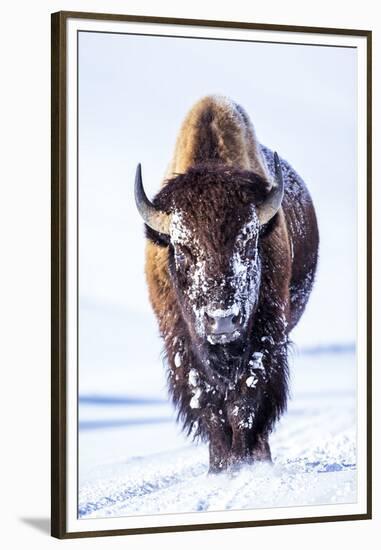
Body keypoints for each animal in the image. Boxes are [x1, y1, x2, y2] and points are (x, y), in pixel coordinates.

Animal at [134, 95, 318, 474]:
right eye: (183, 248)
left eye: (248, 243)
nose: (221, 321)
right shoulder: (181, 345)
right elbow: (208, 405)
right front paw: (220, 467)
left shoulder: (265, 338)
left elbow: (245, 401)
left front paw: (243, 463)